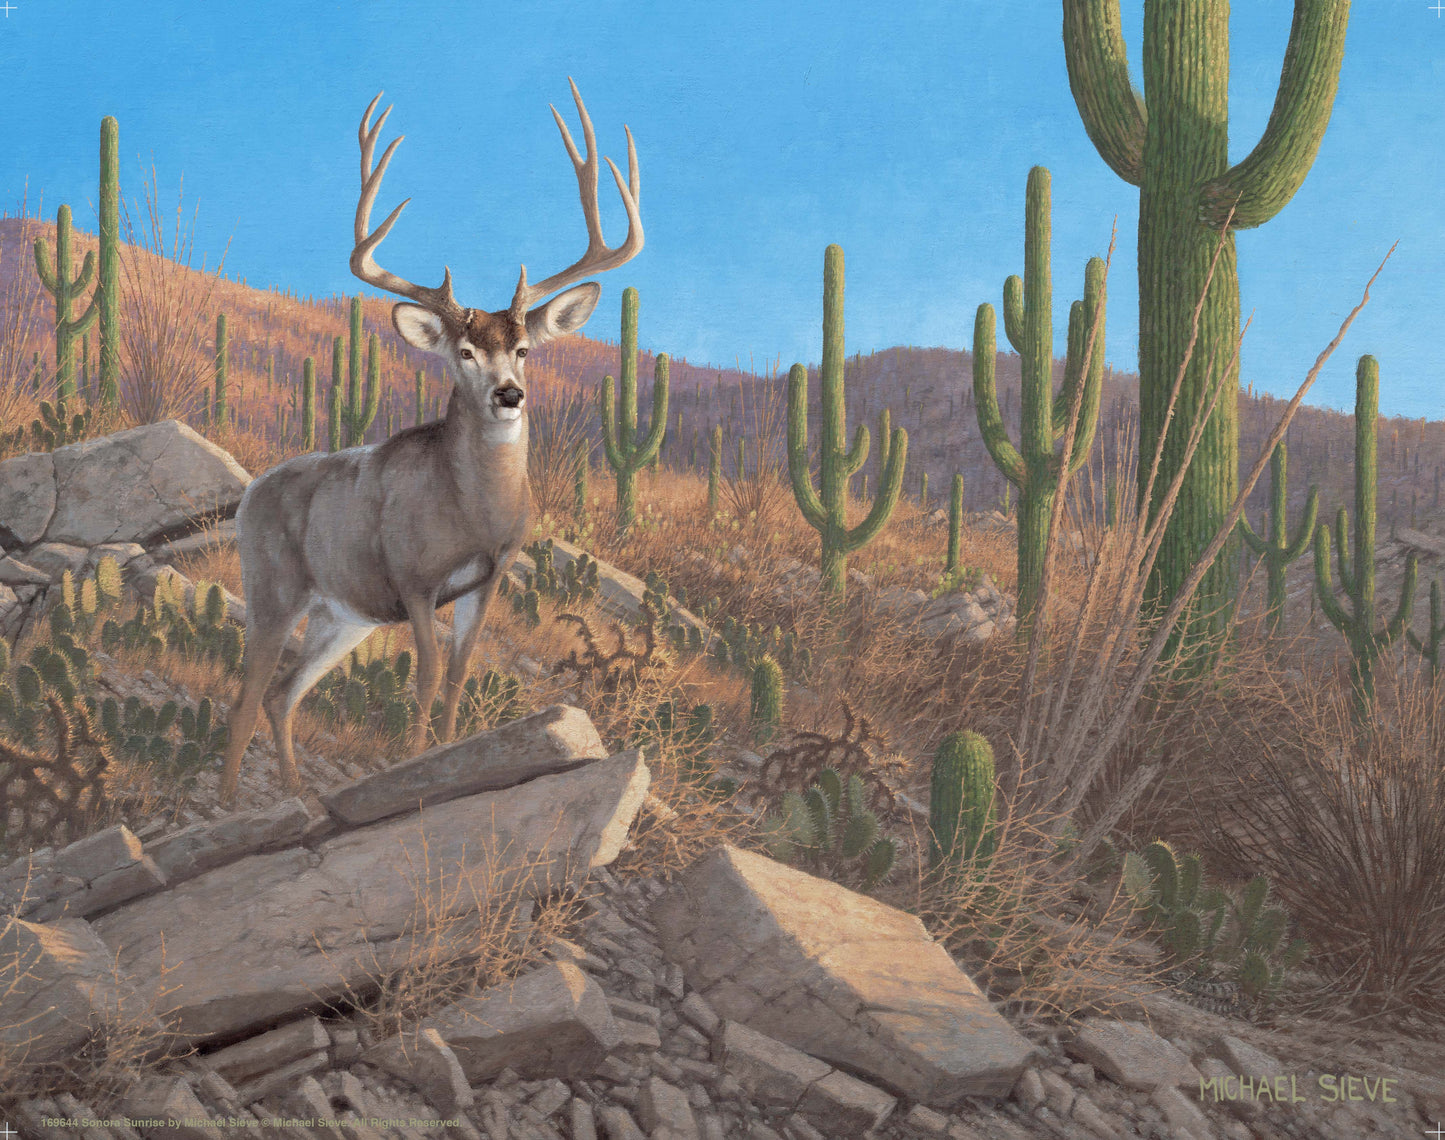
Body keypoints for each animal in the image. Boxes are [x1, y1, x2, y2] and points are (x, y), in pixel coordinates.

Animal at [217, 81, 643, 805]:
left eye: (524, 350)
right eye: (464, 352)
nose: (509, 394)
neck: (474, 512)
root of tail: (251, 493)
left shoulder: (491, 576)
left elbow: (459, 674)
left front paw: (449, 755)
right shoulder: (413, 577)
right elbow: (425, 676)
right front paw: (413, 767)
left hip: (342, 615)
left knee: (281, 695)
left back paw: (297, 791)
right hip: (272, 583)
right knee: (247, 695)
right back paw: (223, 802)